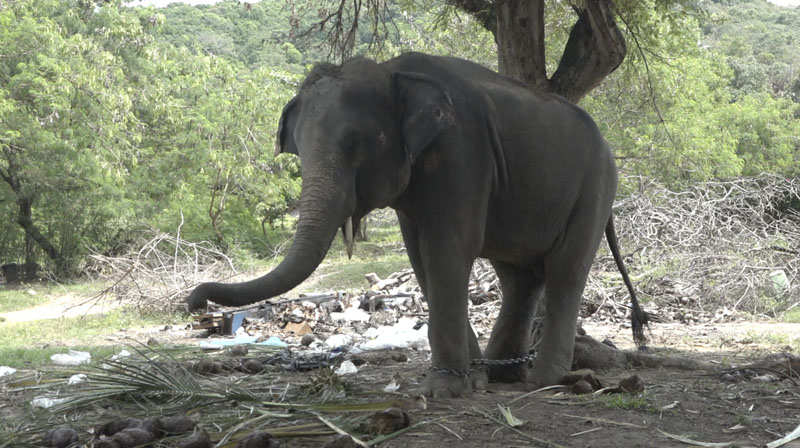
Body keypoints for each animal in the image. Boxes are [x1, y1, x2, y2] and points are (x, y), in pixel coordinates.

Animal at [187, 52, 648, 398]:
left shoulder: (462, 151)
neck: (393, 71)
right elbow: (421, 258)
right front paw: (471, 379)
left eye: (355, 144)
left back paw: (543, 381)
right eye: (297, 151)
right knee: (520, 276)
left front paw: (442, 390)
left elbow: (448, 249)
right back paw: (503, 374)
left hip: (595, 189)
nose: (194, 302)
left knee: (565, 270)